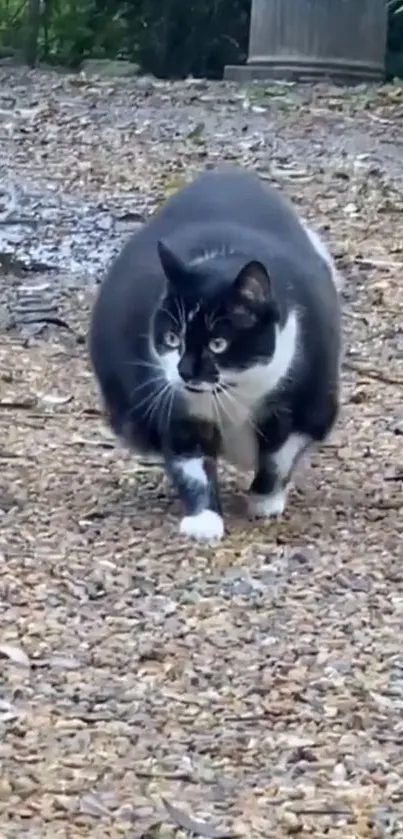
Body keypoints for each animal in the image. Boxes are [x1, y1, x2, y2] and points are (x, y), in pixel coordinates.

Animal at [90, 165, 342, 544]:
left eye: (218, 344)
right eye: (172, 338)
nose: (185, 371)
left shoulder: (308, 401)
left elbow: (280, 455)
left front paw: (264, 500)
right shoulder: (178, 411)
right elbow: (191, 465)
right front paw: (204, 520)